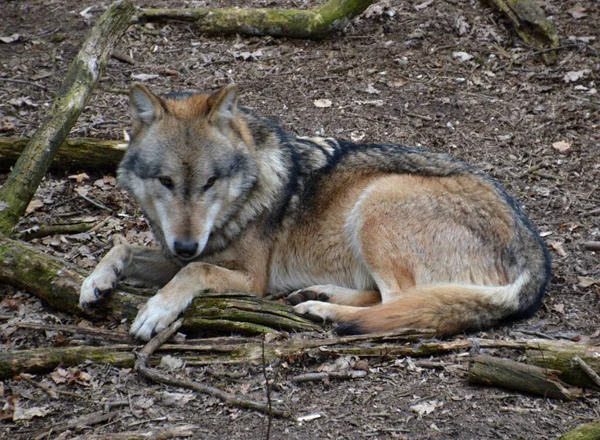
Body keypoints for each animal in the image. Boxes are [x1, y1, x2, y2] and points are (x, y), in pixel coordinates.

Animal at [79, 84, 552, 342]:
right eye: (166, 182)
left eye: (210, 183)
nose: (185, 244)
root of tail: (537, 252)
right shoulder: (179, 253)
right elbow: (122, 246)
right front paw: (95, 282)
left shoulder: (251, 279)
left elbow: (193, 272)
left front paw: (156, 311)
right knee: (392, 299)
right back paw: (319, 295)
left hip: (376, 201)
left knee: (397, 304)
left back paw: (324, 311)